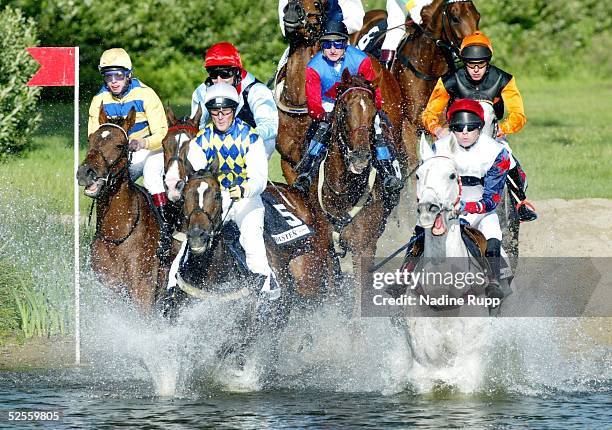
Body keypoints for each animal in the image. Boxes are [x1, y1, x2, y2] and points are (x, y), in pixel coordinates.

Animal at [75, 106, 164, 310]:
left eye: (120, 145)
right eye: (90, 139)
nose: (85, 173)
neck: (117, 233)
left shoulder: (143, 288)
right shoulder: (110, 286)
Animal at [350, 0, 478, 165]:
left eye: (477, 16)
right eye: (455, 18)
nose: (475, 51)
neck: (429, 70)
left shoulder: (441, 124)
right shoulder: (407, 127)